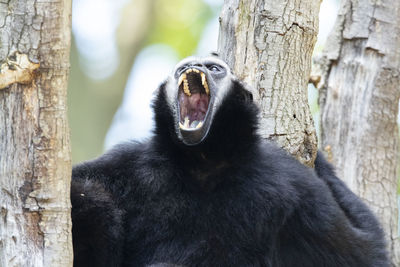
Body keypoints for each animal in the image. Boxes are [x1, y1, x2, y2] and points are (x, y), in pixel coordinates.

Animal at [70, 55, 390, 266]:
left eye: (214, 69)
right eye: (180, 69)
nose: (191, 67)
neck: (202, 163)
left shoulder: (292, 183)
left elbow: (366, 252)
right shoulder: (133, 162)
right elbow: (82, 185)